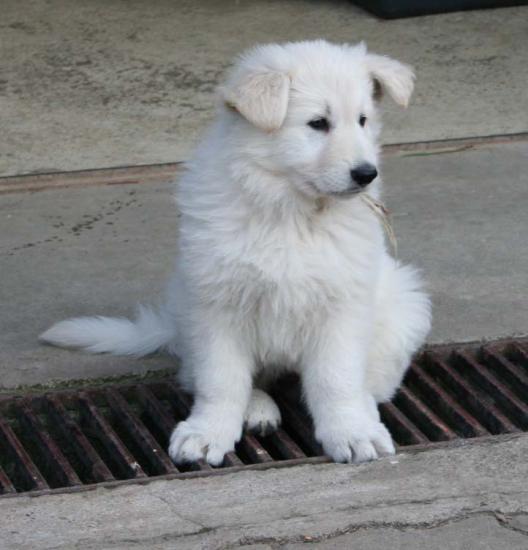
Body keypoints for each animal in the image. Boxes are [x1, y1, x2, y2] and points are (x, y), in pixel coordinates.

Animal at [40, 41, 428, 468]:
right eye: (318, 123)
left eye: (362, 120)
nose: (366, 174)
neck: (290, 210)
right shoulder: (216, 305)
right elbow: (221, 379)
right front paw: (208, 432)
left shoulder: (342, 305)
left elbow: (336, 379)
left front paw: (351, 431)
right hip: (186, 312)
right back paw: (257, 410)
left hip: (401, 310)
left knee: (370, 385)